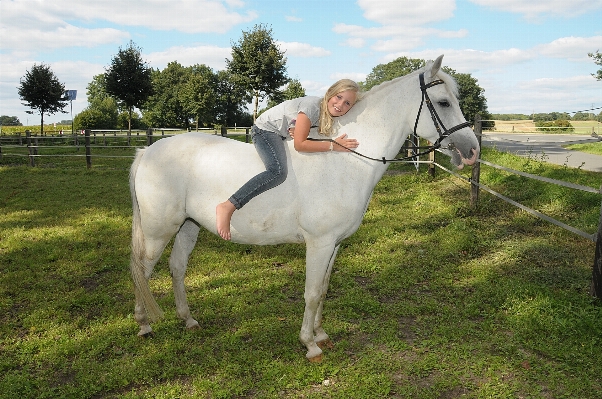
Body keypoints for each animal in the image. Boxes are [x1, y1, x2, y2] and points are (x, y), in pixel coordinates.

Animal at [129, 54, 476, 364]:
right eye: (444, 102)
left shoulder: (334, 244)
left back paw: (187, 320)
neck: (345, 161)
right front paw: (310, 345)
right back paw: (144, 324)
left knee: (177, 267)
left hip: (188, 225)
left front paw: (321, 334)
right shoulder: (319, 243)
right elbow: (310, 293)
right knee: (142, 271)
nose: (472, 149)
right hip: (158, 230)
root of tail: (147, 151)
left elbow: (322, 290)